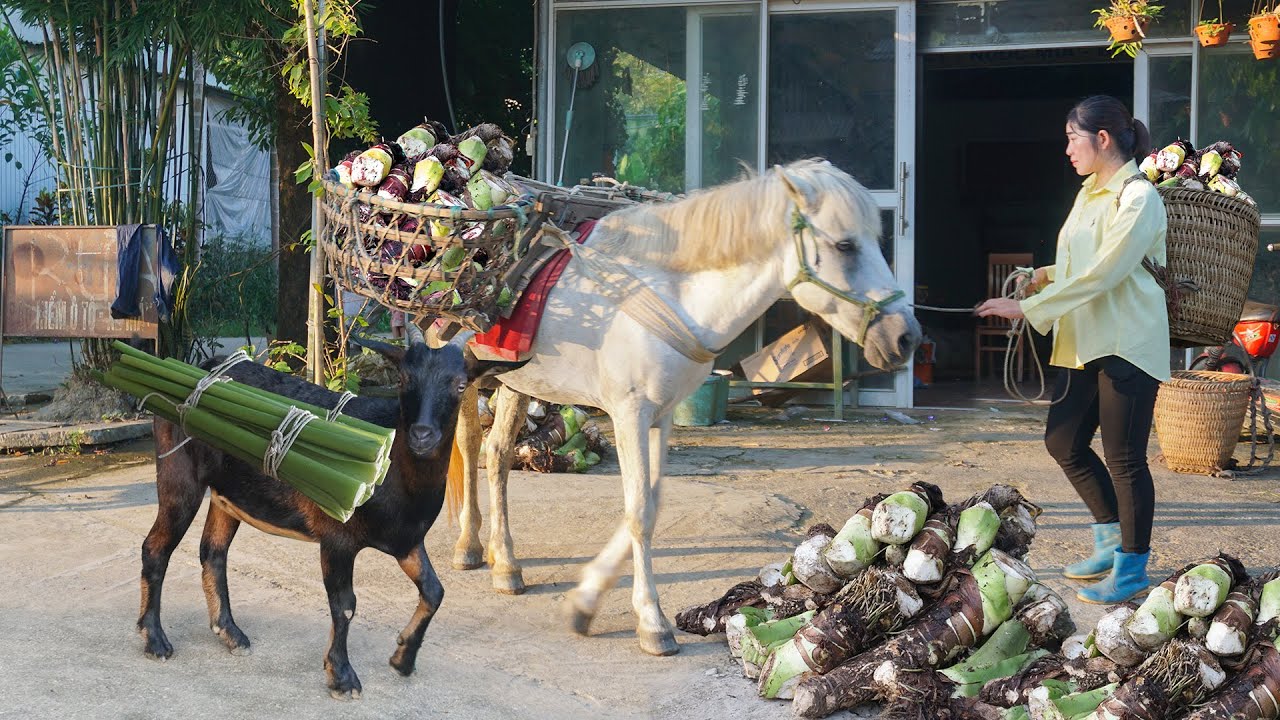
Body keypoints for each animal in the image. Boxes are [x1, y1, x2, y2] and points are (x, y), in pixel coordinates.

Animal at [138, 326, 482, 698]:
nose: (422, 435)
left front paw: (403, 658)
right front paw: (342, 677)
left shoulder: (406, 541)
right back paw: (154, 639)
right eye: (404, 378)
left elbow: (434, 591)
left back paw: (230, 633)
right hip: (178, 473)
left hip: (226, 493)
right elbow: (344, 605)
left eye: (460, 384)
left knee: (213, 552)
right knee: (156, 547)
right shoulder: (336, 537)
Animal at [447, 159, 921, 656]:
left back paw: (504, 562)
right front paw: (651, 622)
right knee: (469, 442)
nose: (906, 337)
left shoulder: (661, 416)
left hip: (514, 378)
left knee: (498, 454)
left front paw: (585, 600)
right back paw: (468, 545)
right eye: (845, 245)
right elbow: (639, 513)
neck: (672, 295)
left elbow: (650, 504)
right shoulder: (629, 415)